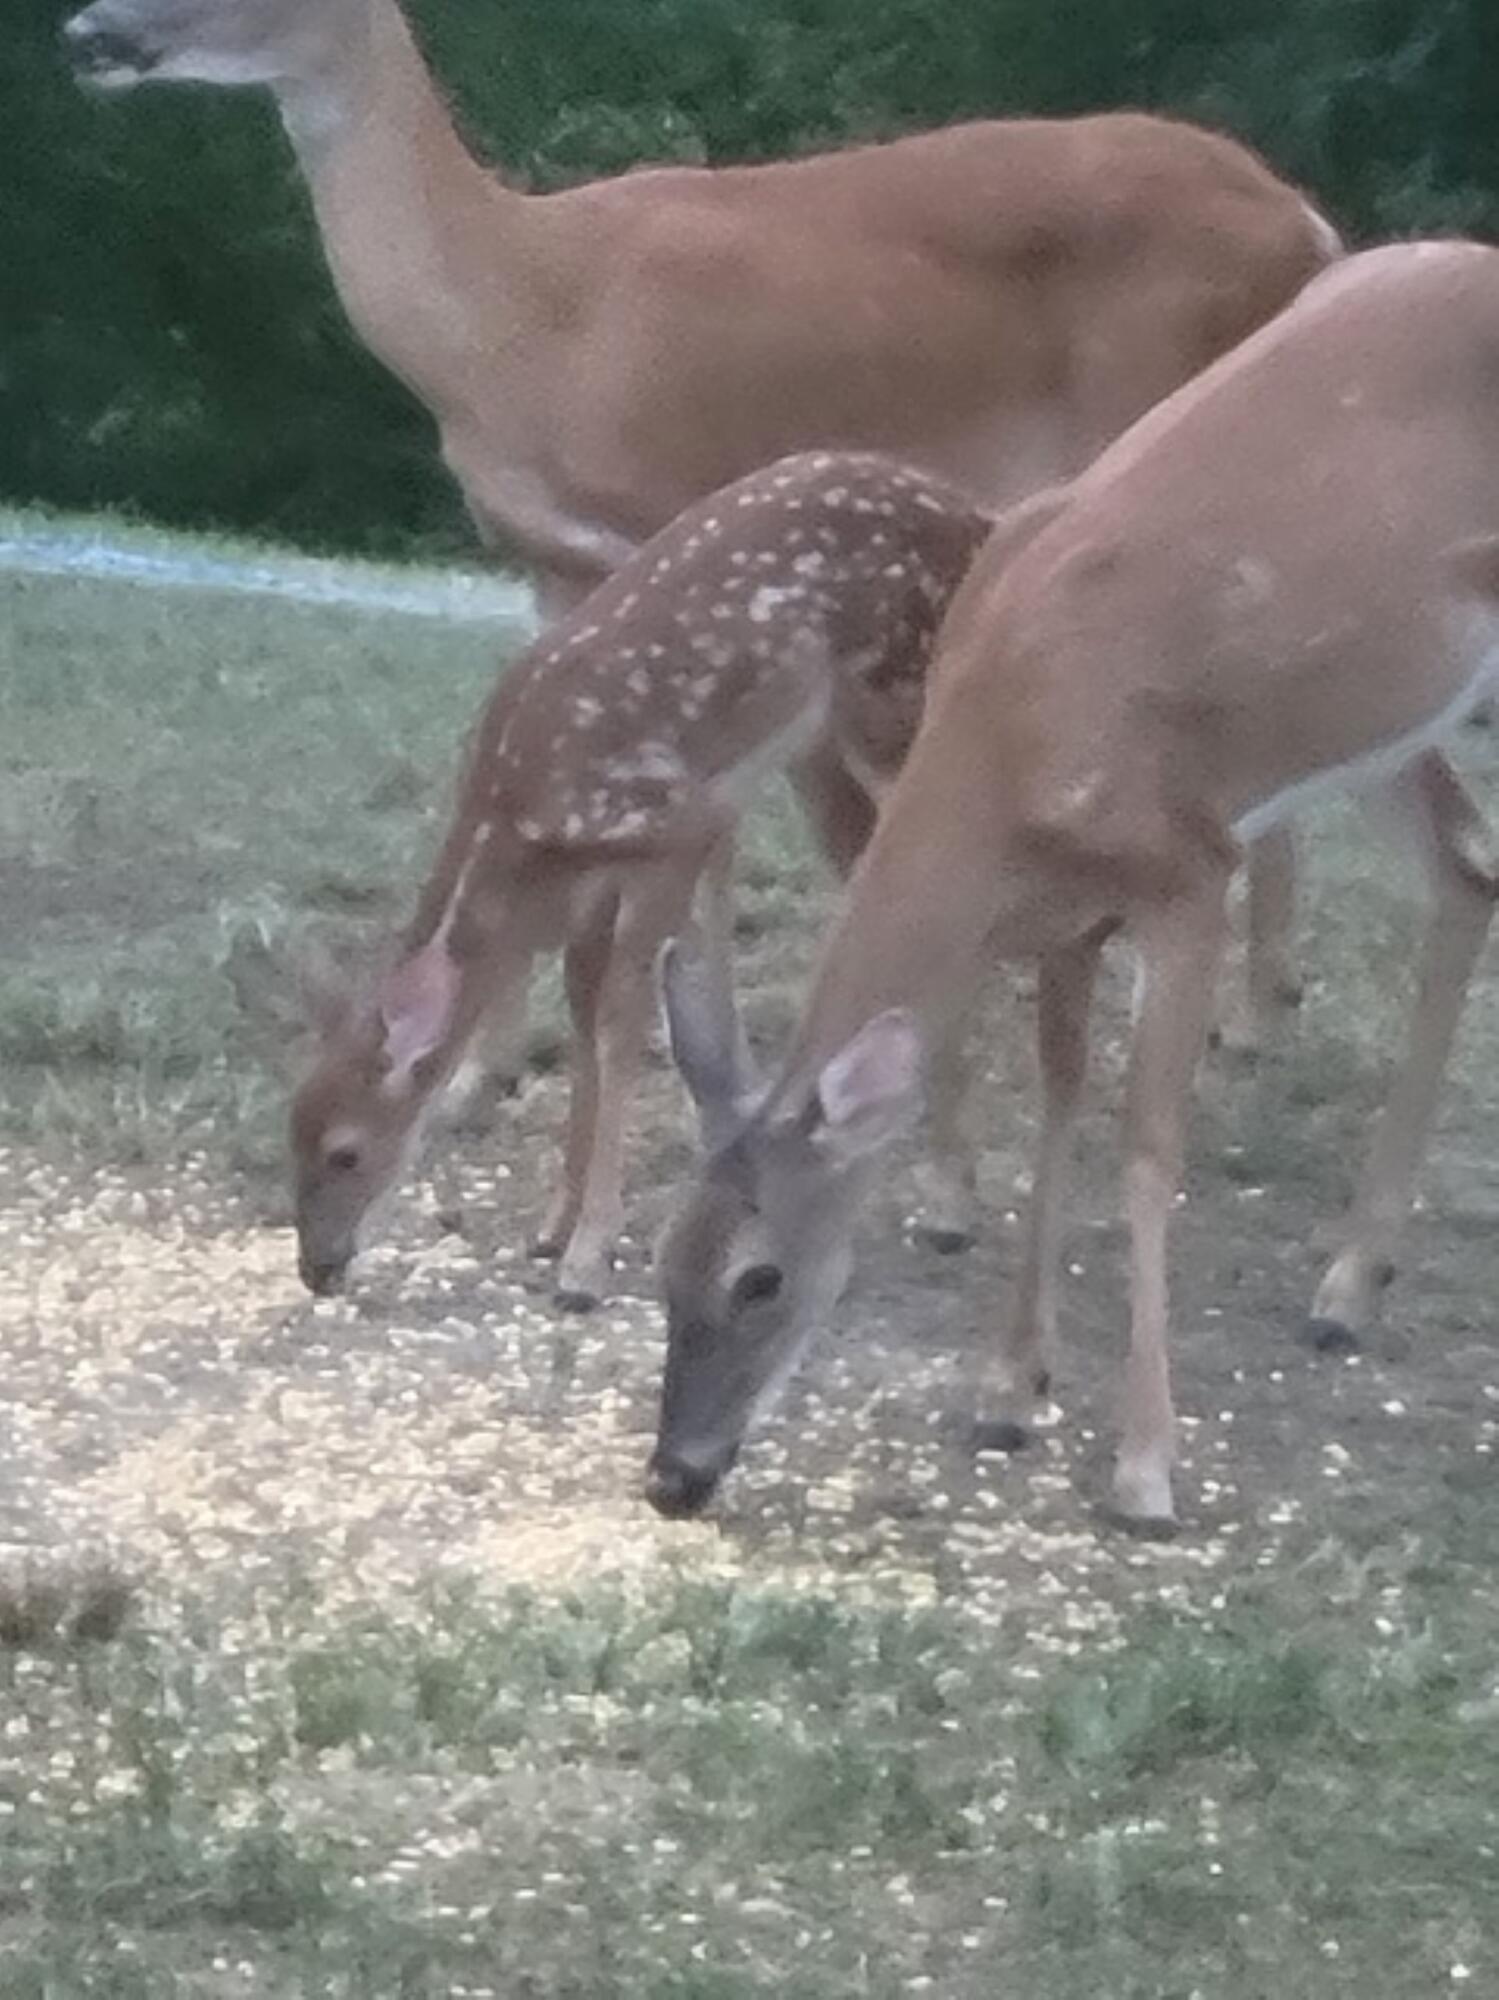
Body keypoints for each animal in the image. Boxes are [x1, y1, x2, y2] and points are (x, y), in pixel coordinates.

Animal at [63, 0, 1339, 1047]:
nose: (88, 31)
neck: (515, 317)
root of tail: (1310, 227)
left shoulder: (673, 511)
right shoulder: (552, 563)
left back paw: (1233, 1015)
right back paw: (1253, 1004)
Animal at [286, 451, 993, 1308]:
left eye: (346, 1152)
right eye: (289, 1131)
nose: (316, 1269)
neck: (519, 828)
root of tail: (976, 516)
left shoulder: (674, 831)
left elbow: (620, 1022)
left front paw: (585, 1259)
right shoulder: (593, 884)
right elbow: (582, 1010)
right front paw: (552, 1227)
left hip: (894, 695)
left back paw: (951, 1204)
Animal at [648, 240, 1499, 1535]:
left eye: (760, 1277)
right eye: (660, 1265)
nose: (671, 1476)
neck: (1007, 751)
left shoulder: (1190, 869)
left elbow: (1146, 1145)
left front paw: (1144, 1463)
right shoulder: (1067, 917)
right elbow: (1057, 1095)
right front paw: (1008, 1387)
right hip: (1388, 717)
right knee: (1463, 862)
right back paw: (1349, 1281)